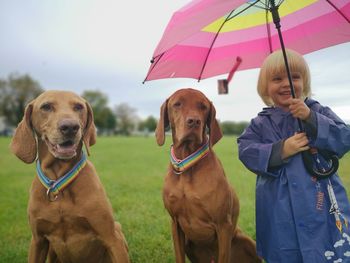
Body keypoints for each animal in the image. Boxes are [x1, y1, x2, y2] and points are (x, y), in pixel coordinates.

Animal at [10, 91, 130, 263]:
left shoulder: (112, 238)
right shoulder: (37, 240)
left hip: (118, 228)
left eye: (78, 107)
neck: (58, 183)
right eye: (46, 106)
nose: (70, 127)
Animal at [155, 89, 260, 263]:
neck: (187, 167)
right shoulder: (175, 224)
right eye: (177, 104)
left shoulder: (223, 225)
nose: (194, 121)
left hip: (246, 240)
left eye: (203, 106)